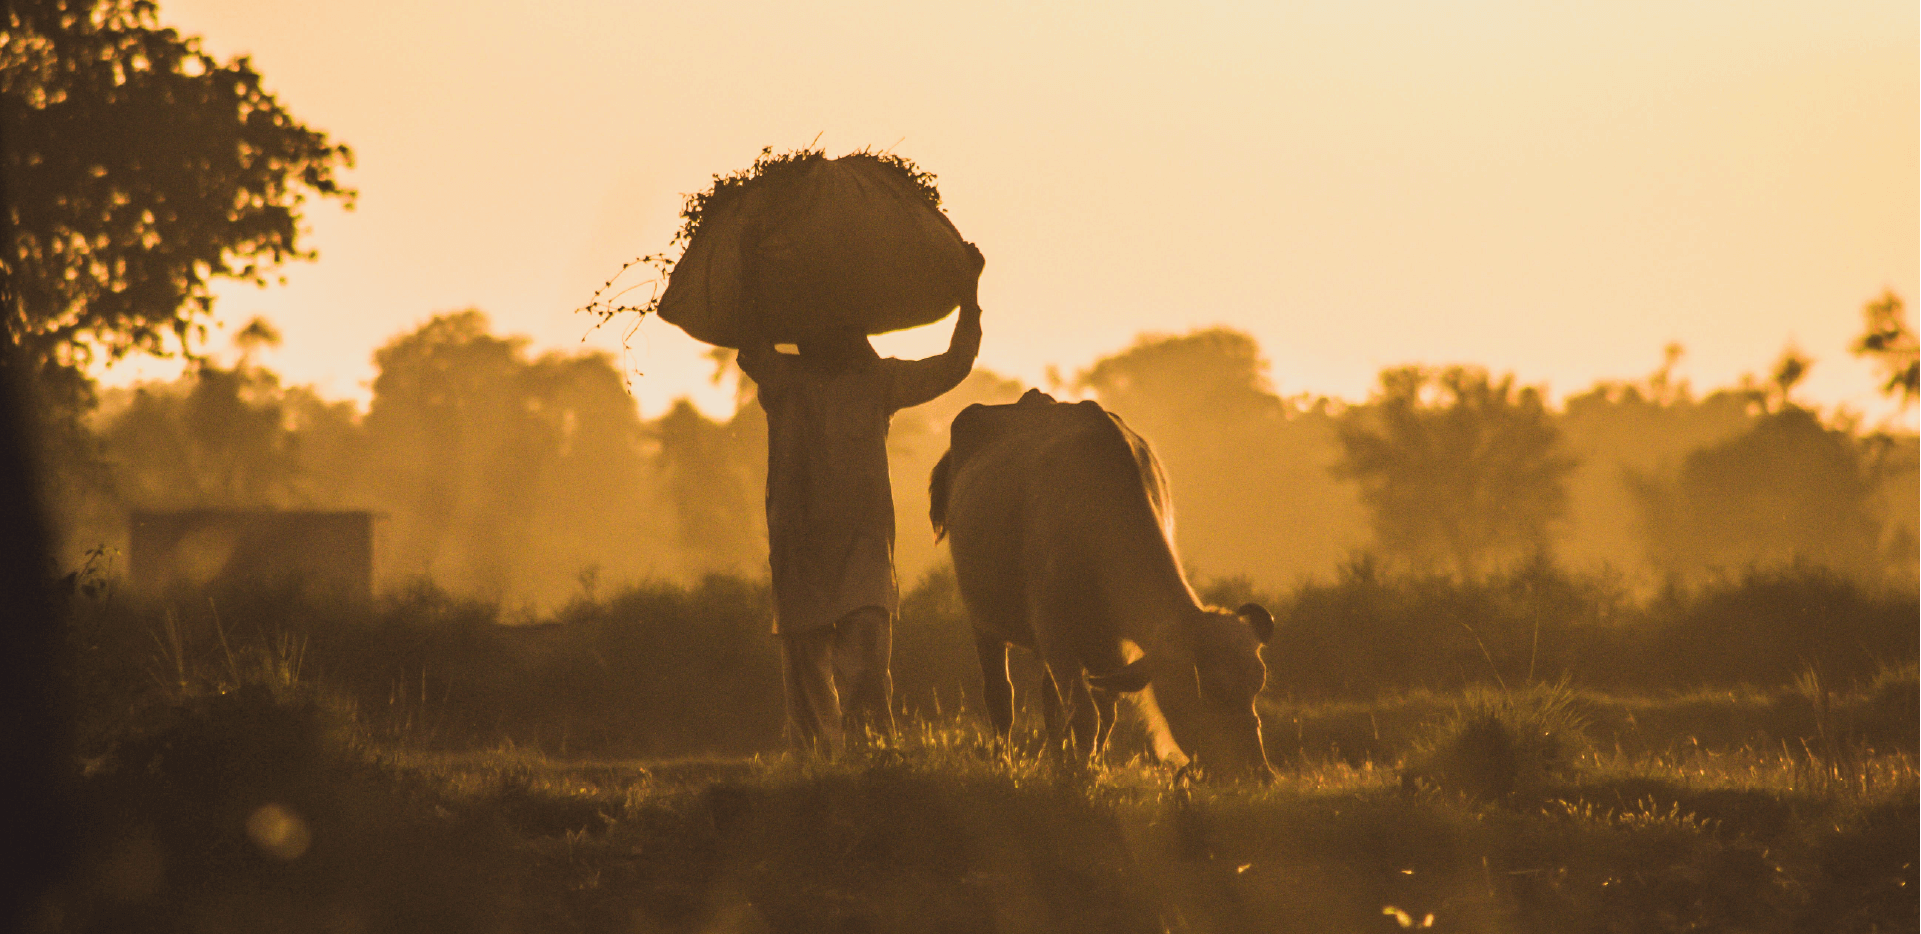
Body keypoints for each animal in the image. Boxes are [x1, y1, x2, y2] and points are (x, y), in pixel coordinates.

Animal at [929, 389, 1276, 781]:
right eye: (1211, 689)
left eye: (1258, 682)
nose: (1258, 772)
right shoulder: (1056, 637)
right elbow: (1085, 714)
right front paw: (1084, 774)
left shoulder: (1110, 645)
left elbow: (1105, 710)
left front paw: (1090, 764)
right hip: (983, 622)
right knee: (1001, 695)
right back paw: (1006, 759)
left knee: (1051, 702)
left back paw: (1058, 758)